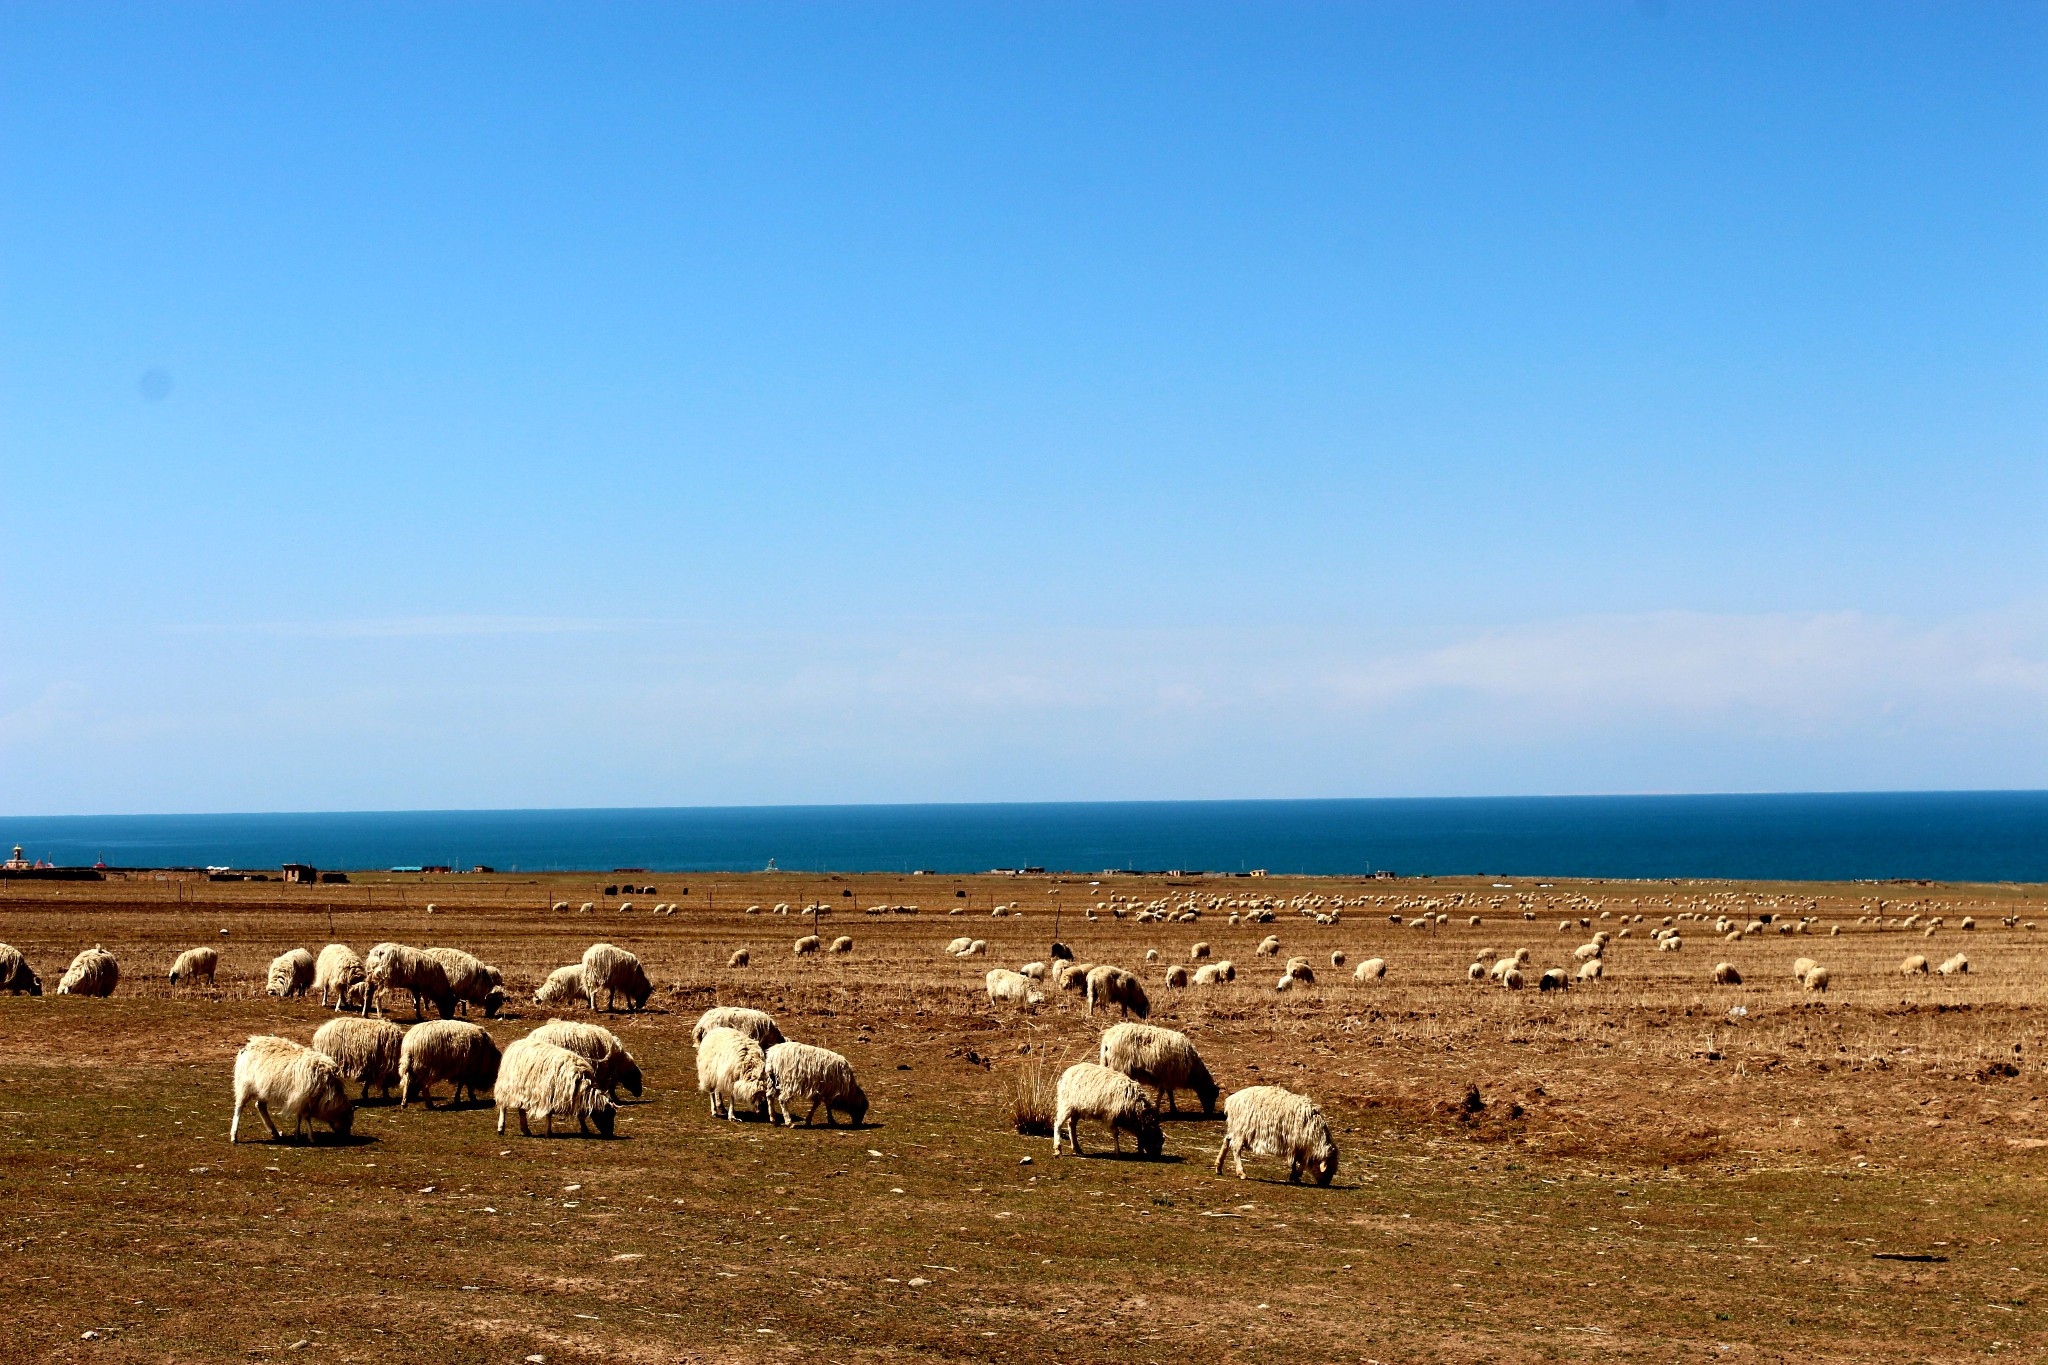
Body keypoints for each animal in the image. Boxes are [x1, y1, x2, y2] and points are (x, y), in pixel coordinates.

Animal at [1204, 1088, 1335, 1186]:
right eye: (1328, 1169)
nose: (1325, 1184)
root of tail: (1231, 1100)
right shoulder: (1298, 1143)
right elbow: (1299, 1161)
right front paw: (1296, 1176)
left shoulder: (1299, 1146)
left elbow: (1296, 1162)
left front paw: (1294, 1176)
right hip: (1241, 1128)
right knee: (1236, 1149)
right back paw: (1241, 1172)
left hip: (1235, 1127)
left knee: (1226, 1141)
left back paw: (1218, 1167)